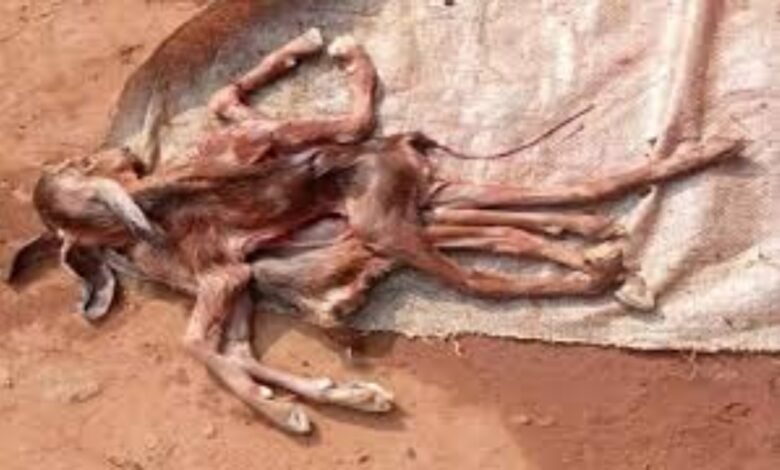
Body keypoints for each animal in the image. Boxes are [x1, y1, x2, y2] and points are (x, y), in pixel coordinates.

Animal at [4, 28, 743, 434]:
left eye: (83, 171)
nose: (131, 163)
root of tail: (400, 160)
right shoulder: (235, 279)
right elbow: (221, 350)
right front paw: (314, 400)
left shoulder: (229, 260)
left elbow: (201, 347)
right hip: (406, 218)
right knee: (523, 217)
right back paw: (622, 234)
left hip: (385, 221)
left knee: (489, 263)